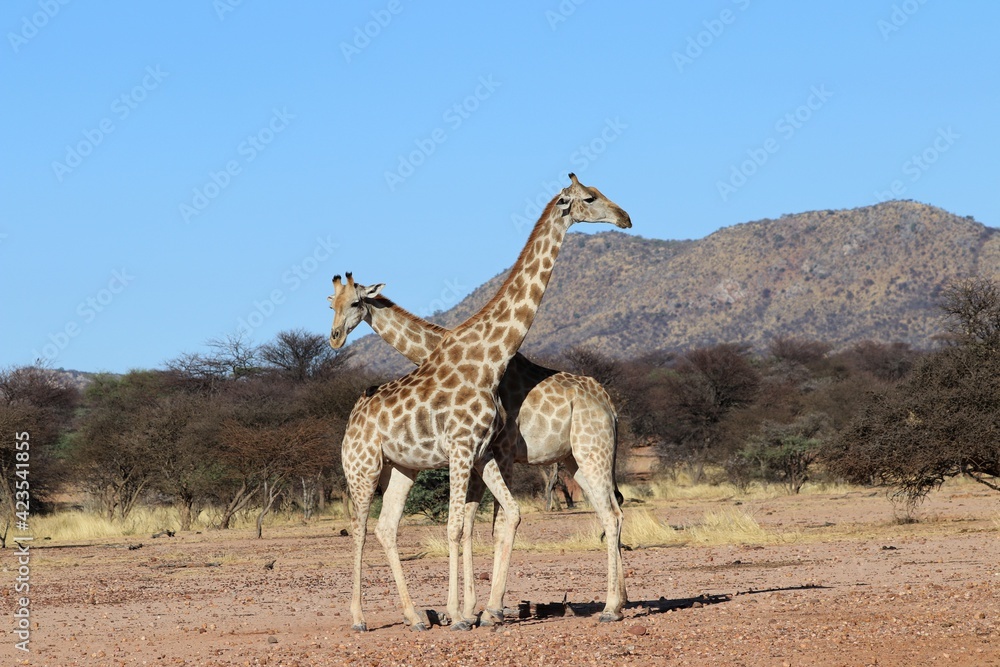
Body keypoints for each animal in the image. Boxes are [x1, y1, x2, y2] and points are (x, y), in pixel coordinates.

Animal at [338, 174, 631, 632]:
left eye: (353, 302)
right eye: (591, 197)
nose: (625, 217)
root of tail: (608, 403)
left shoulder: (490, 452)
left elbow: (486, 522)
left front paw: (476, 610)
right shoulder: (481, 454)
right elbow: (474, 523)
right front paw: (470, 610)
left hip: (587, 453)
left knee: (611, 513)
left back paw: (612, 606)